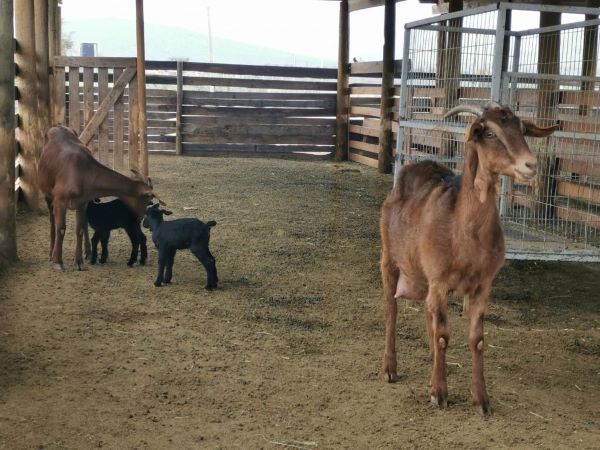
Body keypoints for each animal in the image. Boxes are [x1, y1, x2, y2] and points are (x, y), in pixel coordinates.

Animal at [37, 126, 163, 270]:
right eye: (147, 200)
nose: (140, 219)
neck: (81, 173)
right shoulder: (60, 199)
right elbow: (61, 228)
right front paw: (58, 262)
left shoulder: (82, 202)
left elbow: (80, 229)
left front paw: (78, 262)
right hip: (47, 193)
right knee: (52, 219)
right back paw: (51, 253)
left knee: (83, 224)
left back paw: (88, 252)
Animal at [380, 102, 558, 415]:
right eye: (488, 132)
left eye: (522, 129)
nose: (530, 165)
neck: (462, 229)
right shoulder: (439, 281)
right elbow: (443, 335)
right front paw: (439, 394)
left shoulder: (481, 286)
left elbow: (477, 340)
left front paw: (481, 400)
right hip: (389, 258)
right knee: (392, 310)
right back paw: (390, 368)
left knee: (427, 315)